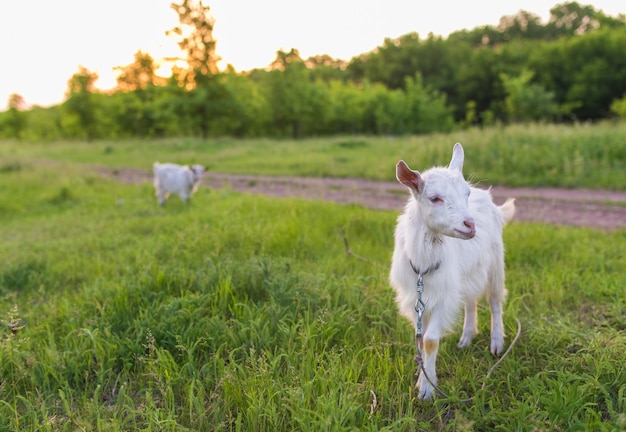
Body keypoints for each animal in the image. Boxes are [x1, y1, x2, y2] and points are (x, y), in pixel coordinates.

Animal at [388, 143, 516, 400]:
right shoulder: (416, 298)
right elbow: (420, 338)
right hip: (468, 273)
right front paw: (421, 375)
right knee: (470, 301)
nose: (470, 225)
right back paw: (466, 337)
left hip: (495, 264)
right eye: (435, 198)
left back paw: (496, 343)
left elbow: (430, 340)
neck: (423, 265)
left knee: (494, 301)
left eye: (465, 194)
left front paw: (427, 389)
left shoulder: (442, 296)